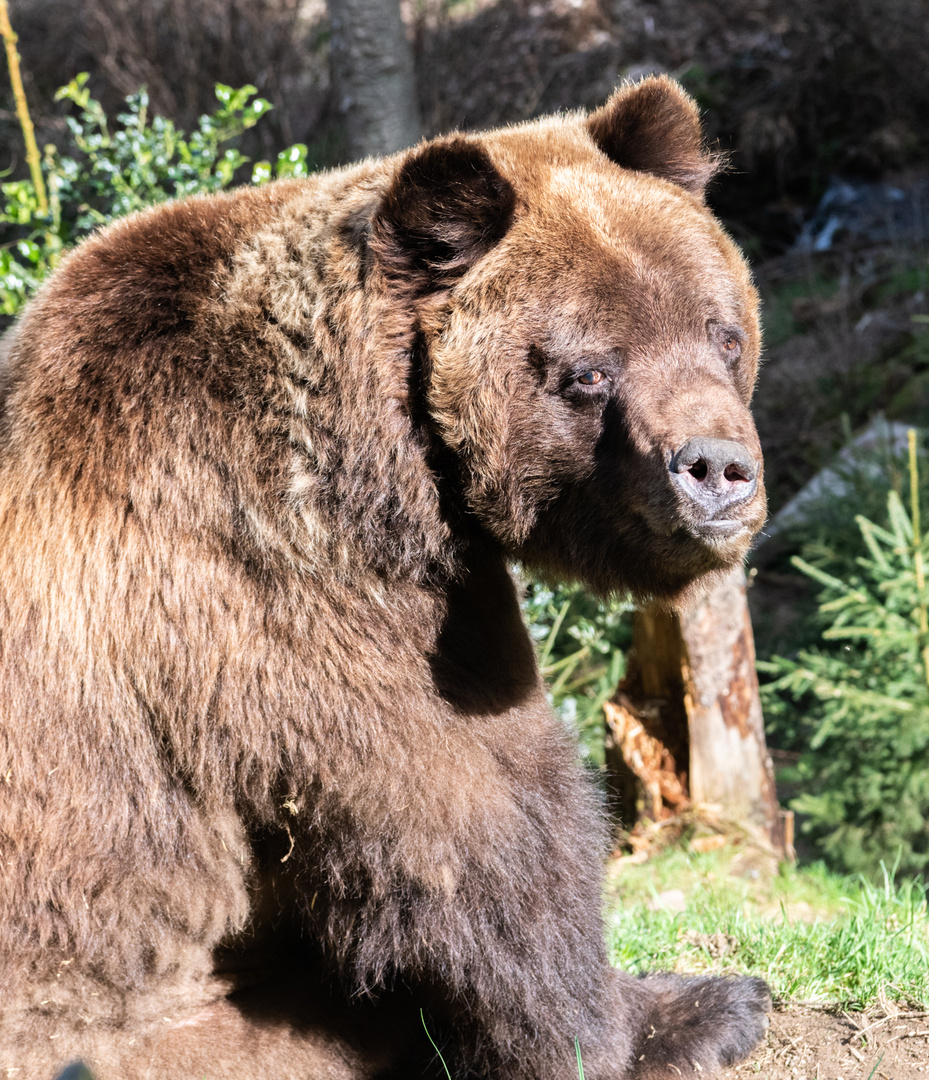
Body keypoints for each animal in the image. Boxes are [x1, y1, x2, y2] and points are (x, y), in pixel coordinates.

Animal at [0, 78, 769, 1080]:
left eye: (722, 333)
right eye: (589, 369)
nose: (717, 468)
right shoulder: (288, 593)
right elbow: (473, 817)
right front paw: (687, 1014)